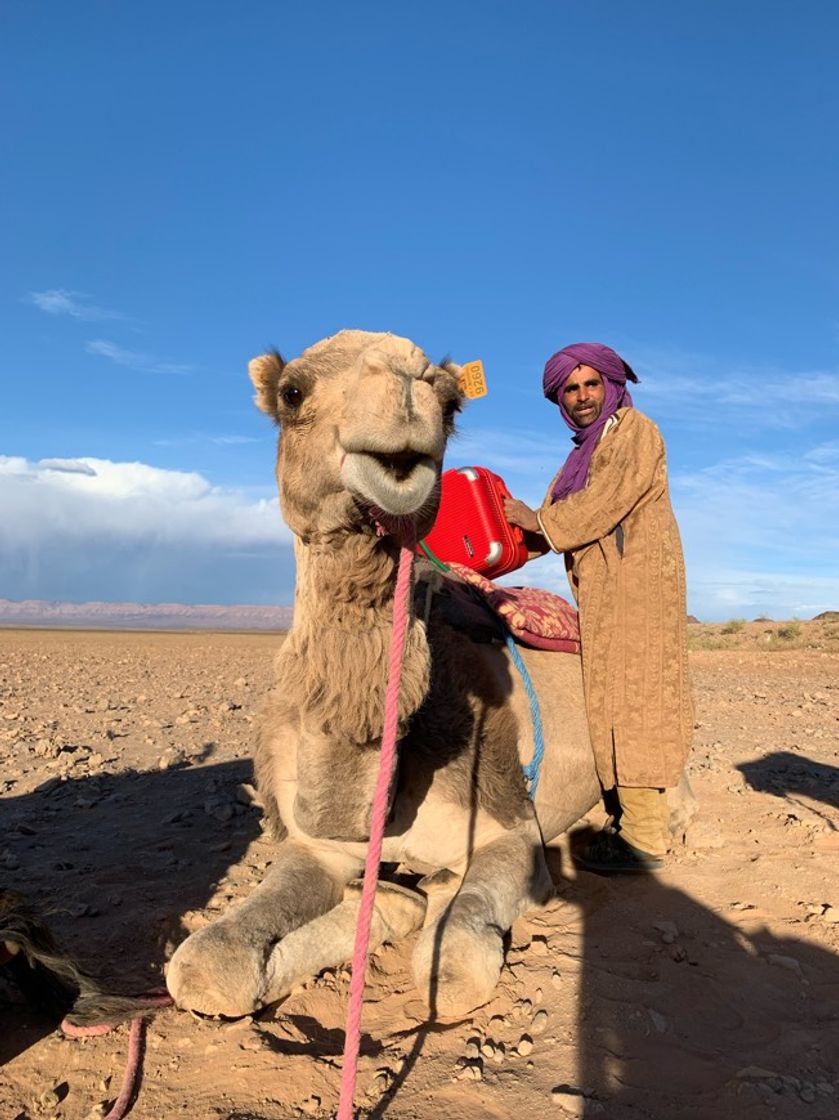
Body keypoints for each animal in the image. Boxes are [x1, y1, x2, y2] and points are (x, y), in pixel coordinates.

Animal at [165, 327, 685, 1021]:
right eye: (292, 392)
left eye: (452, 402)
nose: (405, 391)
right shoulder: (314, 845)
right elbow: (204, 964)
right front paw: (389, 903)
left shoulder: (509, 830)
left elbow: (452, 965)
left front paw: (424, 904)